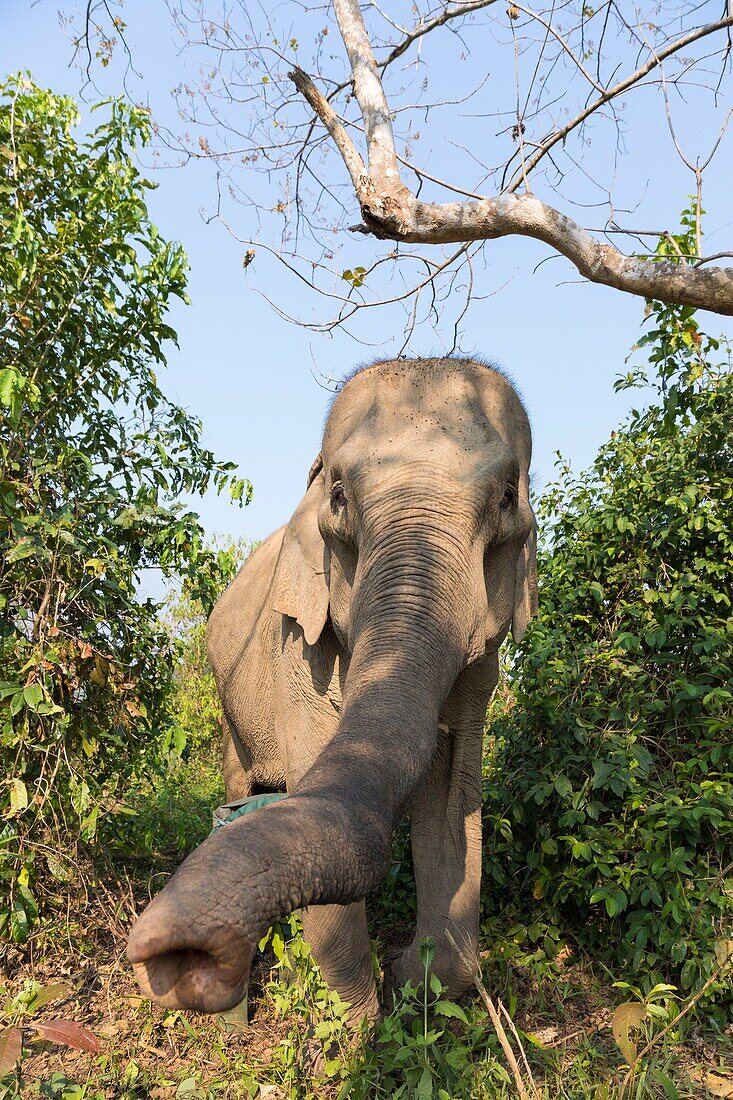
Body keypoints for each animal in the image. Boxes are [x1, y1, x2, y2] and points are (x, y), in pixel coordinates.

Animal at [127, 356, 537, 1025]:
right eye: (340, 497)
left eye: (506, 498)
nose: (178, 959)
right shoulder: (298, 647)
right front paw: (359, 1021)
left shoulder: (483, 672)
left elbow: (452, 804)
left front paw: (417, 984)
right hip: (229, 706)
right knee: (239, 780)